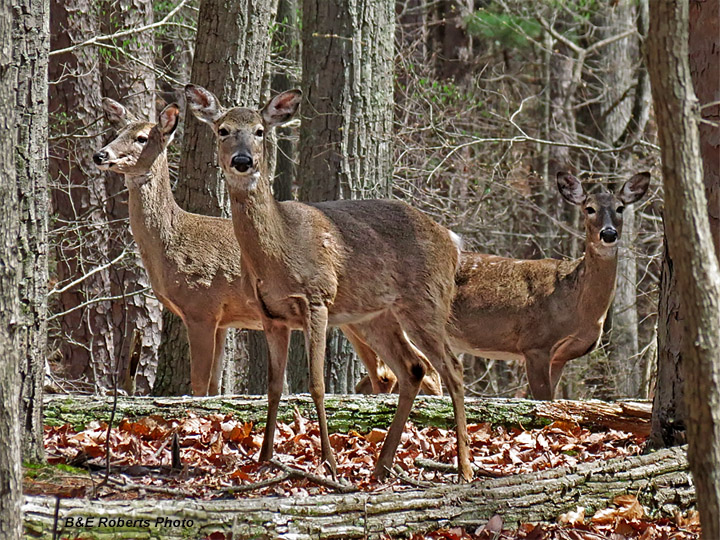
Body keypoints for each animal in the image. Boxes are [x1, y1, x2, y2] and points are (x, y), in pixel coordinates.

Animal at [93, 100, 441, 399]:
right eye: (116, 132)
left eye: (141, 138)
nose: (100, 155)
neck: (171, 244)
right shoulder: (223, 320)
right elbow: (213, 387)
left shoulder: (202, 307)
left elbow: (198, 383)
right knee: (396, 371)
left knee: (410, 370)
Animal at [185, 84, 473, 481]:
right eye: (223, 130)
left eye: (260, 131)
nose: (243, 161)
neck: (281, 248)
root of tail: (452, 240)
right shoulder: (270, 314)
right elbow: (274, 387)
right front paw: (264, 457)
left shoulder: (317, 297)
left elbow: (317, 384)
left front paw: (330, 463)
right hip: (376, 316)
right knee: (413, 368)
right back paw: (382, 465)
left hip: (427, 301)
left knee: (453, 369)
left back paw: (464, 468)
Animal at [355, 172, 651, 401]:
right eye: (589, 208)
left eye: (621, 208)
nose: (609, 233)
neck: (575, 302)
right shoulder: (535, 344)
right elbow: (542, 400)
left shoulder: (559, 356)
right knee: (398, 375)